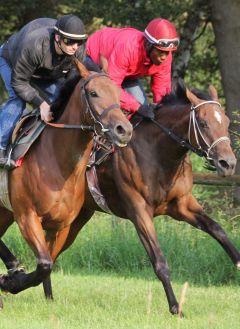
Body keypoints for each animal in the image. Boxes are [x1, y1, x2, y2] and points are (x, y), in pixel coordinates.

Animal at [0, 59, 133, 294]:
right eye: (93, 93)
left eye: (118, 93)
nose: (124, 130)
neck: (58, 164)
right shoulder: (27, 216)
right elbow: (44, 264)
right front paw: (12, 281)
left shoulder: (61, 226)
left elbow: (48, 265)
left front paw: (12, 279)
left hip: (5, 212)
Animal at [40, 80, 239, 314]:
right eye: (203, 122)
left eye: (225, 121)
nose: (228, 163)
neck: (158, 153)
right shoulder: (139, 210)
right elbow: (159, 261)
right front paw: (175, 307)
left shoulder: (183, 205)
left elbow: (218, 230)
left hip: (77, 217)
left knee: (52, 250)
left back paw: (48, 296)